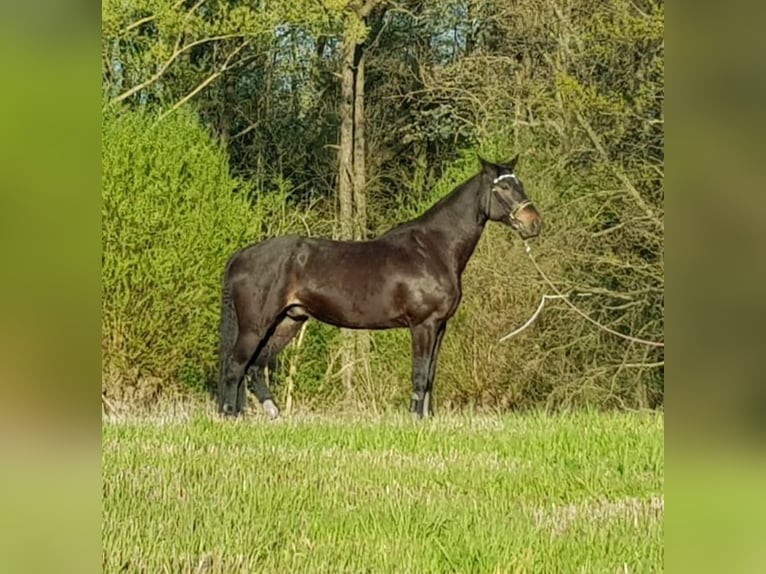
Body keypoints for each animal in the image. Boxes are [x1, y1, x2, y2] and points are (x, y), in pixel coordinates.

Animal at [219, 155, 544, 420]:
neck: (433, 249)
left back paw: (271, 414)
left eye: (520, 184)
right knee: (236, 365)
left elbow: (431, 374)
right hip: (256, 325)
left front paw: (428, 419)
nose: (533, 223)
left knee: (254, 367)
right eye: (503, 188)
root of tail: (241, 256)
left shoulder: (440, 326)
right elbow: (419, 373)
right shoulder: (423, 324)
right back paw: (231, 416)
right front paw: (415, 420)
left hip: (287, 321)